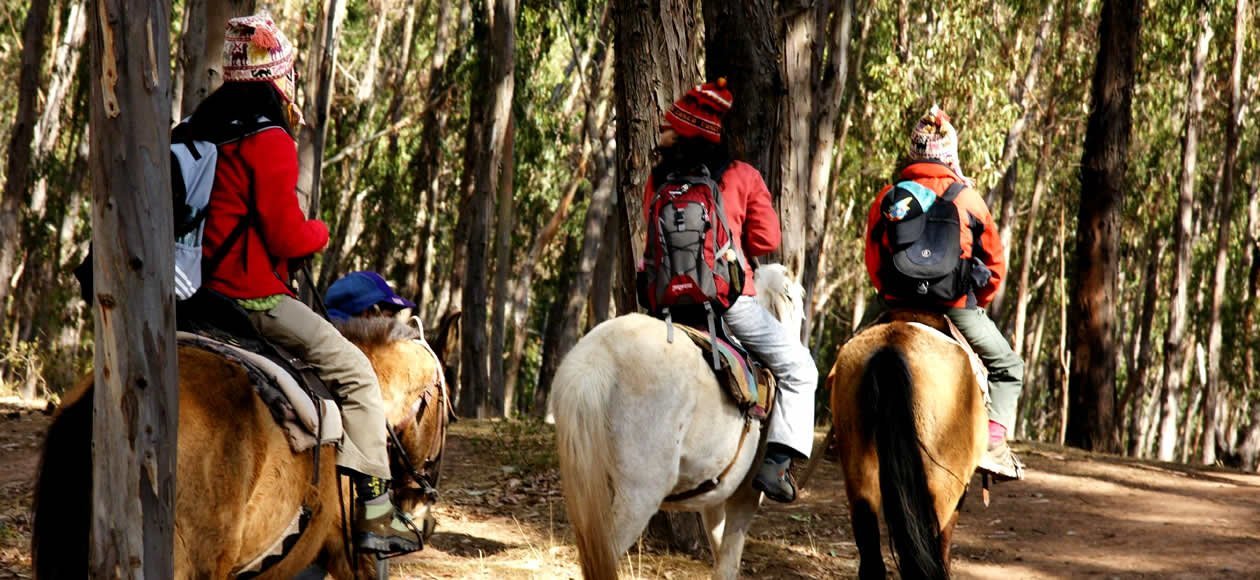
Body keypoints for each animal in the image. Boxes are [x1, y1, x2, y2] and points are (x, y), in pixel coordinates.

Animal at [553, 264, 805, 579]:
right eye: (796, 301)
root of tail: (597, 359)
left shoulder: (715, 500)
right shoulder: (745, 496)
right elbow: (728, 563)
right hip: (637, 497)